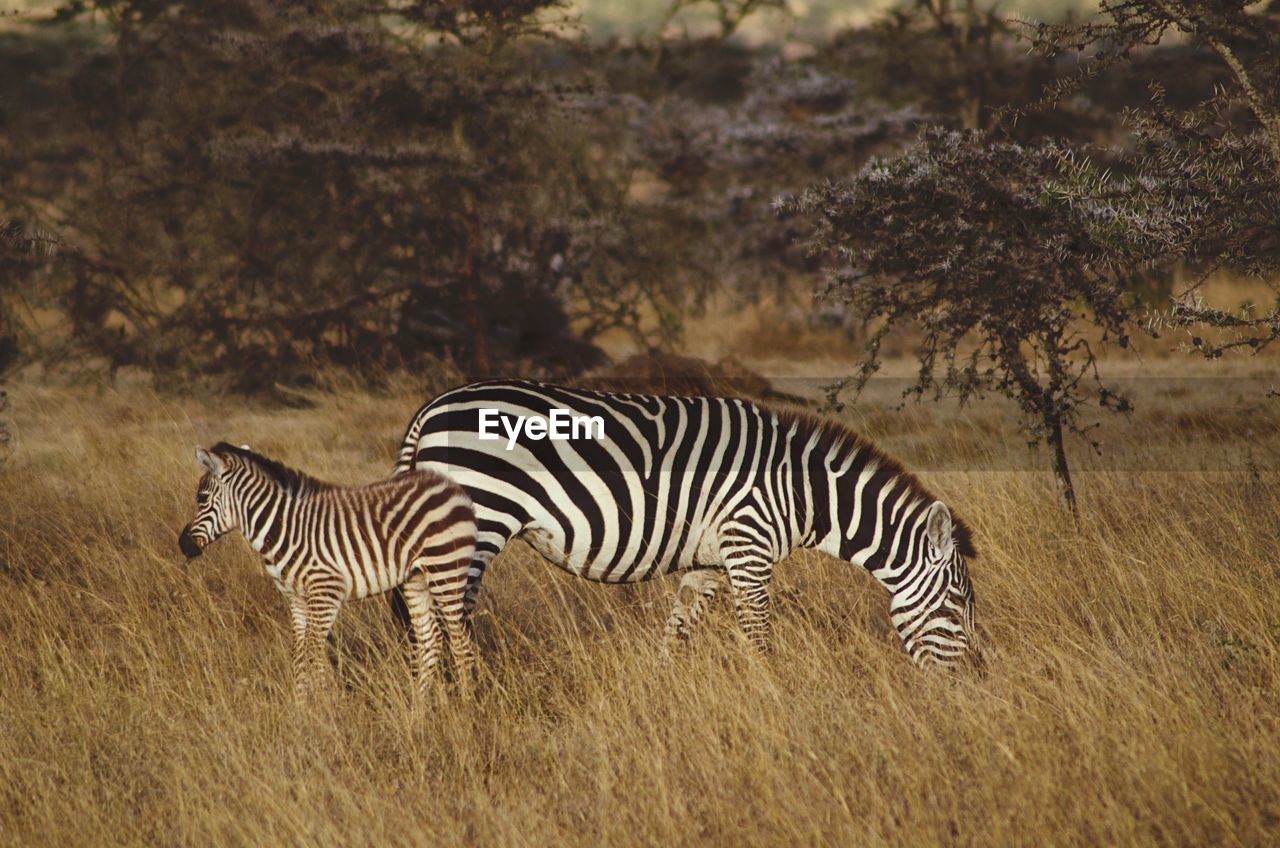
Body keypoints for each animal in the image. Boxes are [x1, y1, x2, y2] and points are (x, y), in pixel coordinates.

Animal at [177, 445, 478, 696]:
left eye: (201, 498)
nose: (183, 545)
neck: (282, 530)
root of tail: (448, 484)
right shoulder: (296, 598)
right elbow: (301, 653)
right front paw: (303, 710)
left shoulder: (326, 592)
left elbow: (312, 652)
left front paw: (324, 708)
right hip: (416, 578)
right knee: (431, 640)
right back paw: (419, 707)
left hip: (446, 570)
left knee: (460, 644)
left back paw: (464, 706)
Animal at [394, 379, 983, 671]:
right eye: (957, 605)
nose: (974, 680)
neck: (798, 492)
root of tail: (431, 408)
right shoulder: (748, 547)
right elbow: (758, 637)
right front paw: (776, 700)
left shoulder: (711, 562)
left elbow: (676, 632)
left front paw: (661, 693)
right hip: (481, 517)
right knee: (451, 614)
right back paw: (471, 698)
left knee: (422, 610)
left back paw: (430, 710)